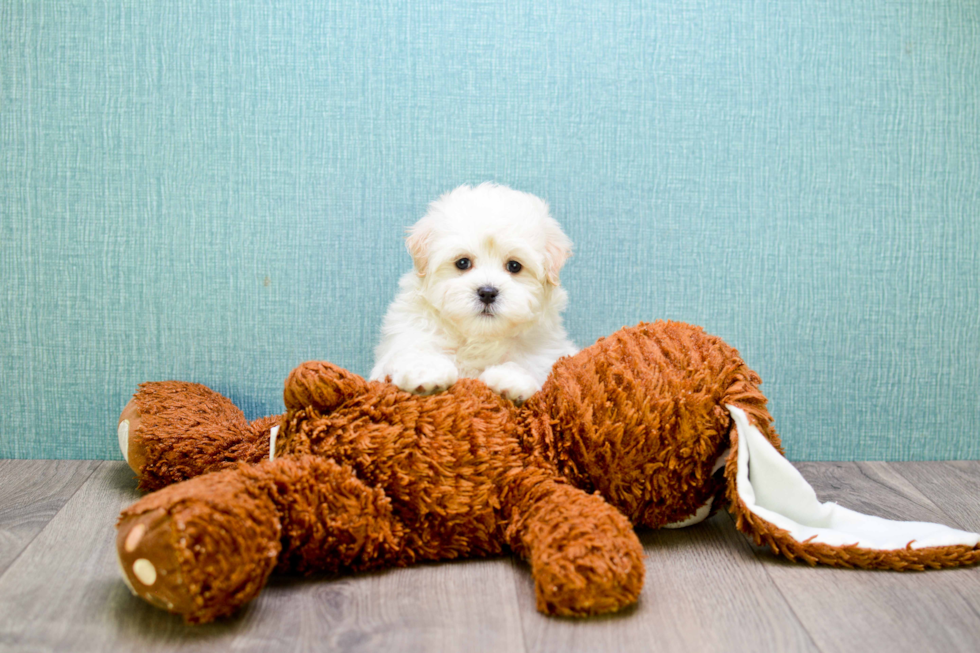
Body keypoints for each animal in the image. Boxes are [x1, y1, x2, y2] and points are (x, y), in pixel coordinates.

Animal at [372, 181, 580, 400]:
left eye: (514, 266)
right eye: (463, 263)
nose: (487, 292)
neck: (480, 338)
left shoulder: (548, 356)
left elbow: (525, 365)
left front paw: (511, 379)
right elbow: (413, 351)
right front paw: (426, 372)